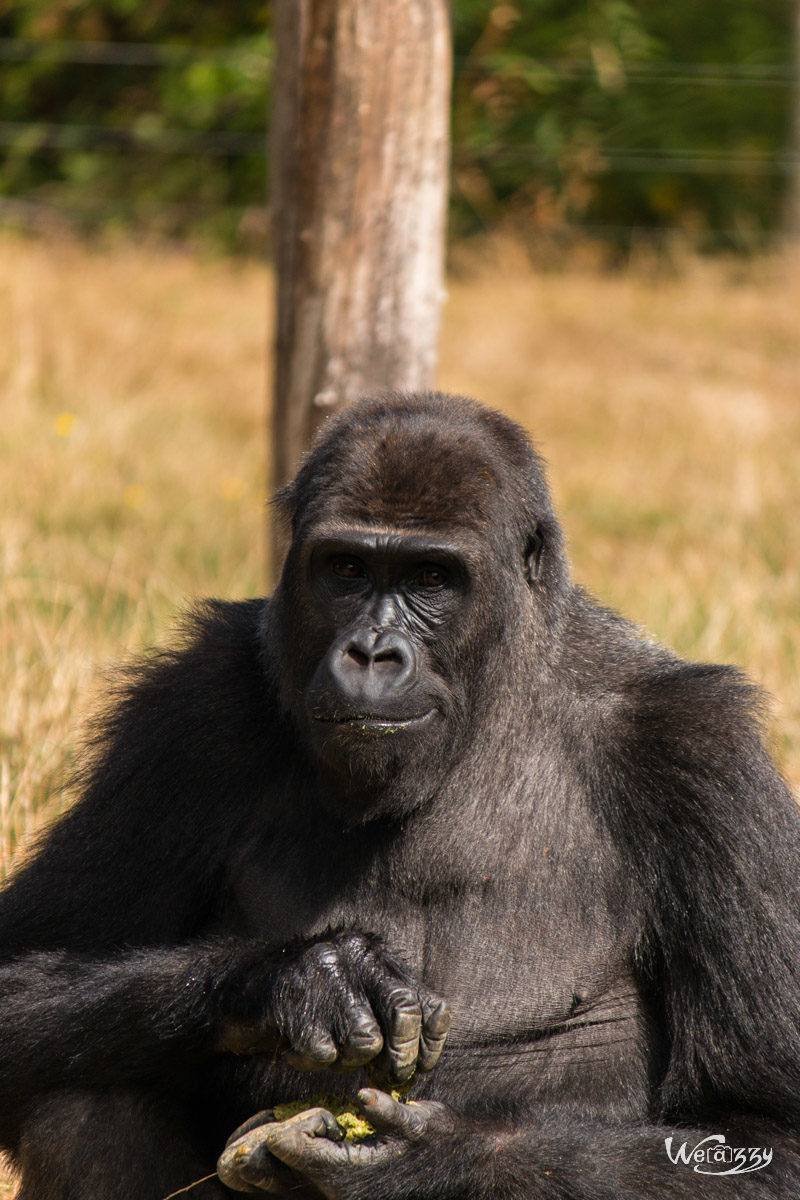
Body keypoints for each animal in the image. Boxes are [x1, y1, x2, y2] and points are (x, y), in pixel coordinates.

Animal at [1, 388, 800, 1195]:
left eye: (430, 578)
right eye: (347, 568)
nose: (371, 653)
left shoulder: (699, 753)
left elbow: (766, 1126)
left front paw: (426, 1159)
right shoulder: (187, 712)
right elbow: (22, 974)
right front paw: (296, 980)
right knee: (84, 1104)